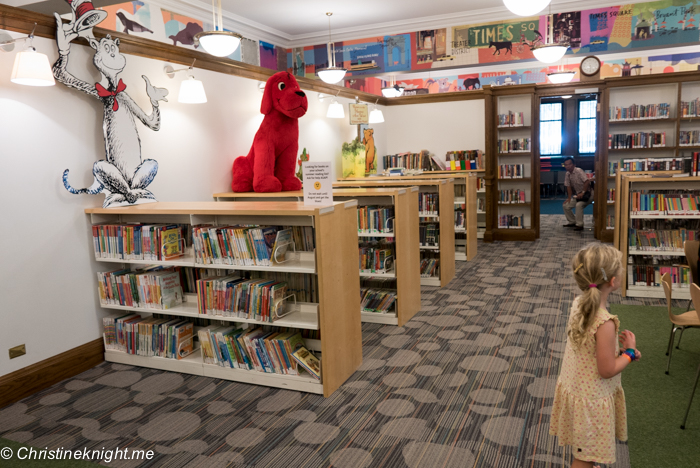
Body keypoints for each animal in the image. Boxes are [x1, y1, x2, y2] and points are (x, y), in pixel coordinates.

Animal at [53, 0, 168, 207]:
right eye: (105, 48)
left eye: (113, 49)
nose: (113, 54)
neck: (113, 90)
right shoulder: (100, 93)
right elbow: (61, 74)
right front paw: (63, 38)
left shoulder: (125, 95)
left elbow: (152, 124)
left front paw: (153, 92)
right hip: (105, 167)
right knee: (105, 171)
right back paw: (122, 197)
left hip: (144, 168)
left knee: (150, 165)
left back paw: (140, 194)